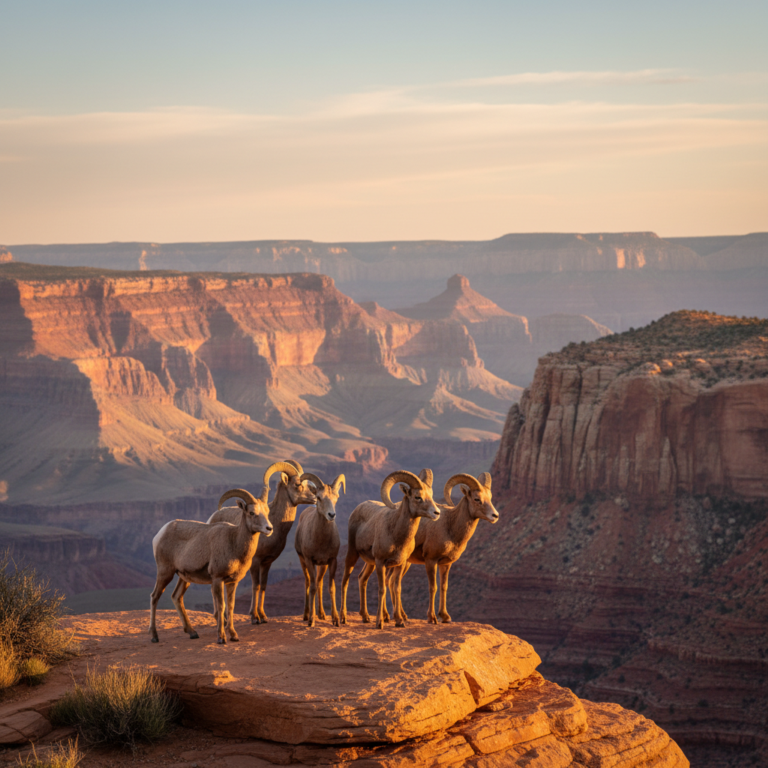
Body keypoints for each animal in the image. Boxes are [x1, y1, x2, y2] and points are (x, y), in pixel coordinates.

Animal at [149, 487, 273, 645]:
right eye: (252, 513)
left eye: (266, 512)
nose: (269, 528)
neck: (234, 543)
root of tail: (160, 533)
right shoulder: (217, 579)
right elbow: (221, 606)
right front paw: (221, 638)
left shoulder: (232, 582)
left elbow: (230, 606)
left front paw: (234, 636)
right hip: (165, 572)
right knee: (154, 596)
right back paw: (154, 636)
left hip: (184, 578)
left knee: (176, 596)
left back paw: (193, 633)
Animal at [207, 459, 316, 624]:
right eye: (298, 484)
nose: (315, 497)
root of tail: (212, 517)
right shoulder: (255, 562)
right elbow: (256, 586)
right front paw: (254, 617)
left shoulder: (267, 562)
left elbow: (263, 586)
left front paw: (263, 616)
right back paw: (219, 617)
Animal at [293, 473, 346, 628]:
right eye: (319, 497)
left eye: (336, 498)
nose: (331, 515)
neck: (321, 541)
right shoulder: (309, 560)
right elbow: (312, 588)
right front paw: (311, 620)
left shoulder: (332, 561)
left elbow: (331, 587)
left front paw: (335, 620)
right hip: (303, 561)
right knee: (308, 582)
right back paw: (306, 615)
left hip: (322, 565)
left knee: (319, 583)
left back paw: (322, 614)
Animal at [340, 469, 440, 630]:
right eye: (417, 497)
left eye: (430, 495)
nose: (436, 513)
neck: (396, 535)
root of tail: (358, 508)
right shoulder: (381, 562)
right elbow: (382, 589)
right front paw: (379, 623)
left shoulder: (400, 564)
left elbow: (396, 589)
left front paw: (399, 621)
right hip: (353, 554)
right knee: (345, 581)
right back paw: (343, 618)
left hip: (370, 563)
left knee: (362, 579)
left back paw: (365, 617)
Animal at [390, 472, 498, 625]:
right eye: (477, 499)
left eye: (490, 498)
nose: (495, 516)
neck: (450, 527)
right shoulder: (431, 561)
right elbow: (433, 587)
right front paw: (432, 618)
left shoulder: (446, 564)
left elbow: (443, 587)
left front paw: (445, 617)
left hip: (405, 563)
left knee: (391, 582)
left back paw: (400, 616)